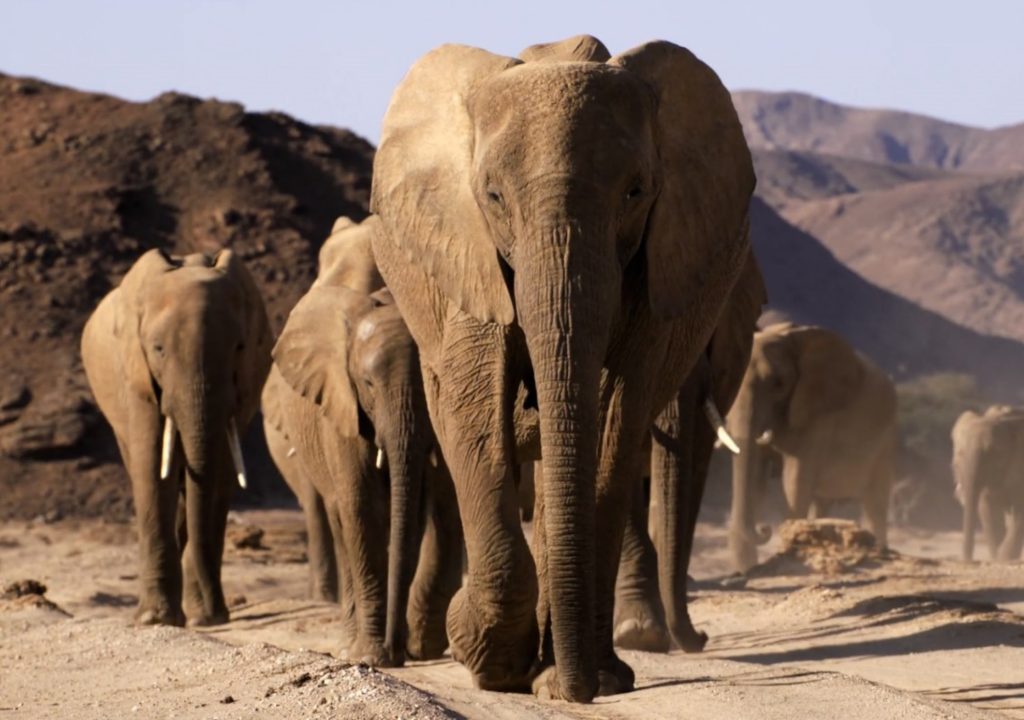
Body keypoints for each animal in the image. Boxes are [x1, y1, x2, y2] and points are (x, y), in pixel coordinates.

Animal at [81, 249, 271, 627]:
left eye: (240, 347)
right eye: (158, 349)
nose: (218, 613)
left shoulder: (246, 385)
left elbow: (221, 475)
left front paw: (203, 619)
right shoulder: (137, 377)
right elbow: (152, 467)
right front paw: (155, 620)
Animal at [262, 216, 463, 667]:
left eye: (431, 383)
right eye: (368, 384)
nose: (397, 650)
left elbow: (428, 507)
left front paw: (403, 649)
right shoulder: (340, 404)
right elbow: (363, 507)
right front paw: (373, 657)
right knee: (341, 515)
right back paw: (349, 643)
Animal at [726, 322, 898, 572]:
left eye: (778, 384)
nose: (764, 528)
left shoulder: (817, 415)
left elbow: (794, 480)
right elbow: (756, 477)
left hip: (886, 441)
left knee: (875, 504)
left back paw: (879, 550)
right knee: (823, 502)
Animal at [951, 405, 1024, 561]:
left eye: (993, 453)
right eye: (959, 454)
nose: (968, 561)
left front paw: (1003, 559)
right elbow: (988, 510)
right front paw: (997, 558)